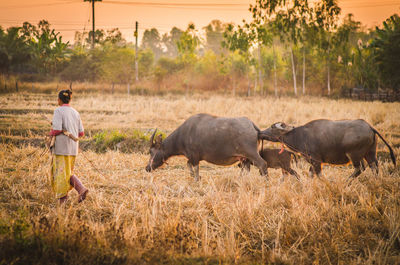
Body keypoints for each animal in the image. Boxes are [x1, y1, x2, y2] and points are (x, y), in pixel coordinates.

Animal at [260, 118, 396, 178]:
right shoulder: (313, 161)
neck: (300, 135)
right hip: (370, 153)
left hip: (354, 155)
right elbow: (311, 174)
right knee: (374, 167)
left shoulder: (316, 160)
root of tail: (369, 127)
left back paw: (347, 182)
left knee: (360, 168)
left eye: (272, 127)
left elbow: (319, 175)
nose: (261, 132)